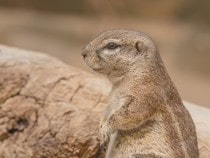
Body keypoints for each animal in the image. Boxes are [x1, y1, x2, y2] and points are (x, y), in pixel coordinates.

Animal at [81, 29, 199, 157]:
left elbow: (126, 115)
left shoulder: (145, 95)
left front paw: (105, 130)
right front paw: (100, 128)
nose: (83, 53)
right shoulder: (111, 100)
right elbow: (106, 112)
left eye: (111, 45)